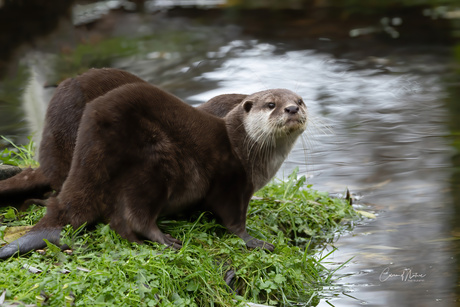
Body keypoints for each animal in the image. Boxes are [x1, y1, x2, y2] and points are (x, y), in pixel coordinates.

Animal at [0, 68, 310, 258]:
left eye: (301, 100)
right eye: (270, 104)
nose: (292, 108)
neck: (245, 150)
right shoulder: (231, 182)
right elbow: (233, 221)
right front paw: (254, 240)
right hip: (155, 166)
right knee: (132, 214)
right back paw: (161, 239)